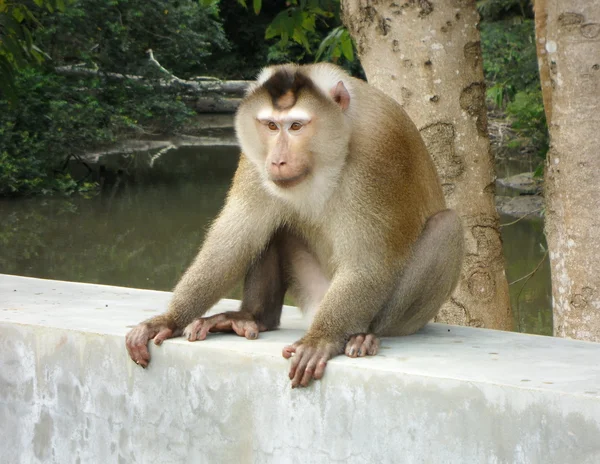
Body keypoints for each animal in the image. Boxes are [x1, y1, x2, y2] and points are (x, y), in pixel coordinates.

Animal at [125, 61, 464, 388]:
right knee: (271, 225)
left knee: (447, 227)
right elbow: (234, 240)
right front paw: (169, 319)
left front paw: (321, 339)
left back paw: (364, 334)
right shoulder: (255, 158)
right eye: (272, 126)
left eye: (297, 126)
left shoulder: (379, 146)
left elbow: (369, 261)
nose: (278, 160)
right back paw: (253, 316)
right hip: (312, 288)